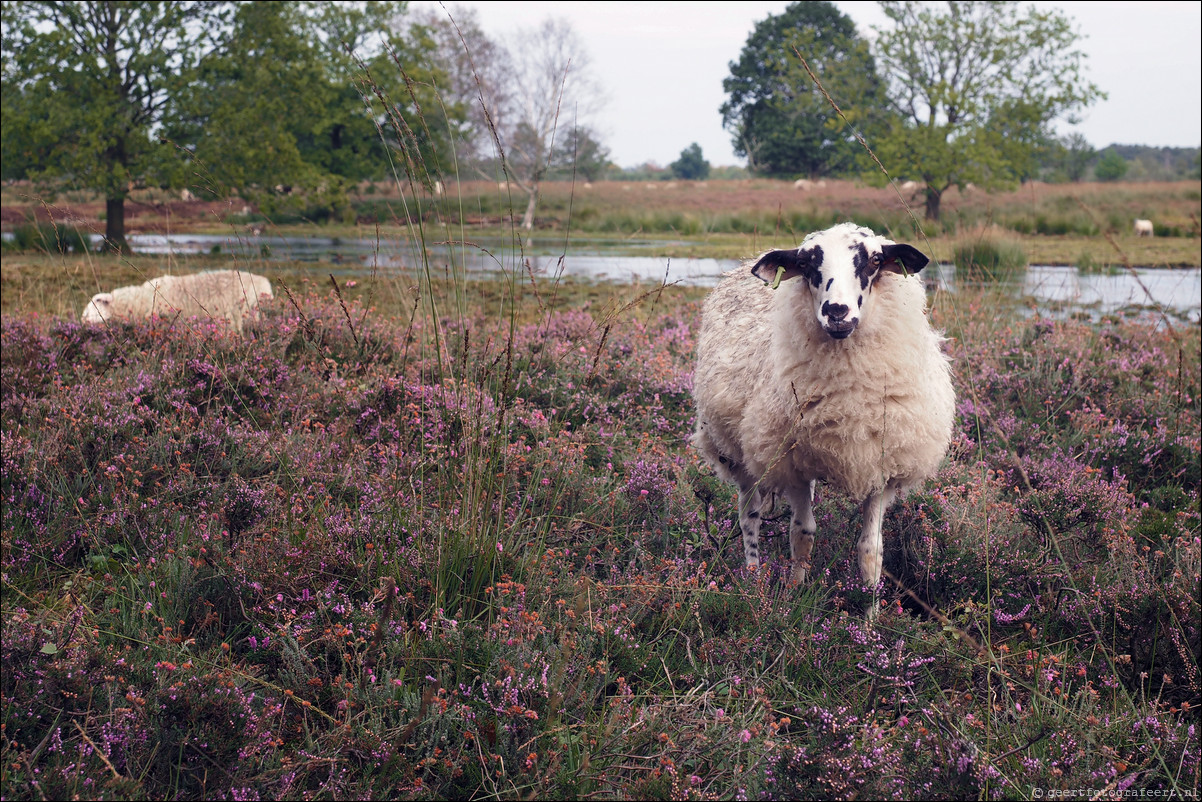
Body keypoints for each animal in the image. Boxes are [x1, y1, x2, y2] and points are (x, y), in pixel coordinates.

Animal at [692, 220, 951, 615]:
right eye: (806, 263)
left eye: (875, 260)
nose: (837, 311)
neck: (849, 398)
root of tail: (744, 264)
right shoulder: (792, 463)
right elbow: (802, 534)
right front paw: (795, 599)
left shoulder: (881, 466)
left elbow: (870, 550)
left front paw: (870, 617)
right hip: (739, 451)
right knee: (749, 516)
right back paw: (752, 583)